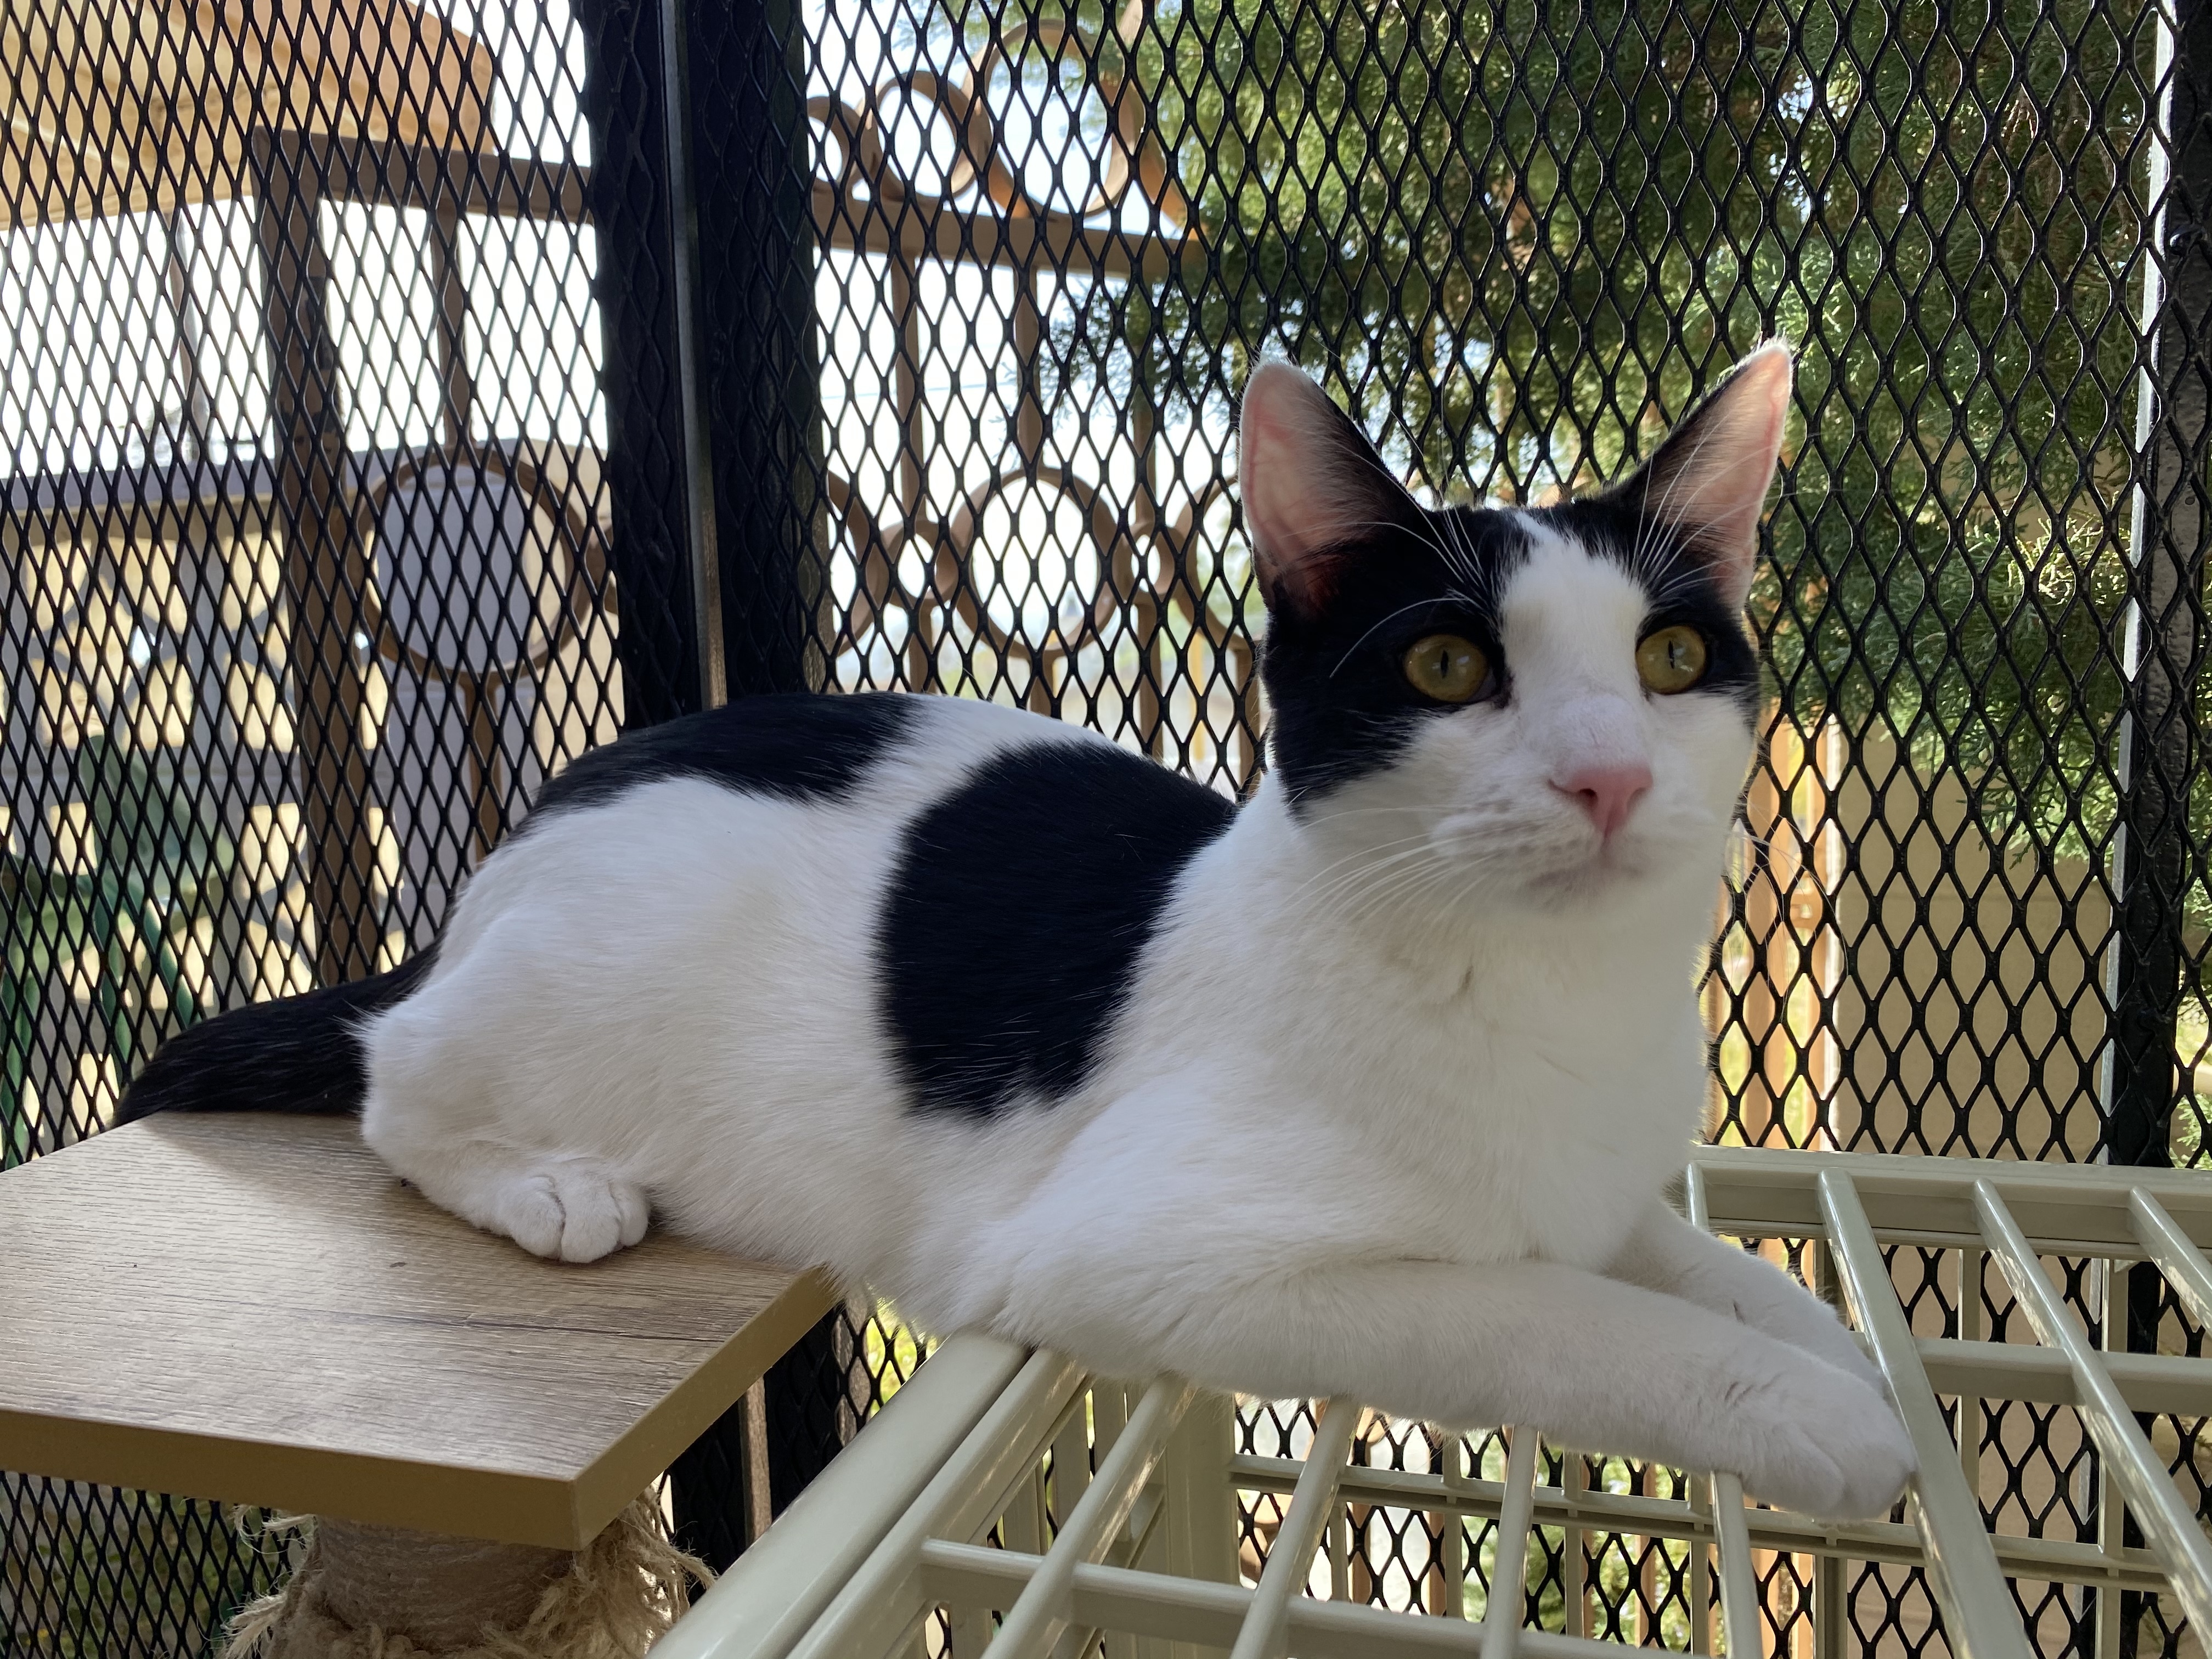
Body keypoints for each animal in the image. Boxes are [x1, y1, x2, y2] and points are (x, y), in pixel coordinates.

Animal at [125, 345, 1920, 1531]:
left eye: (1672, 655)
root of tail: (562, 799)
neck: (1549, 1002)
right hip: (574, 980)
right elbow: (1555, 1315)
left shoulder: (1593, 1183)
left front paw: (1826, 1340)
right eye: (1446, 670)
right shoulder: (1145, 1258)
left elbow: (1667, 1258)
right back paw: (549, 1184)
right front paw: (1815, 1415)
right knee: (398, 1072)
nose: (1609, 774)